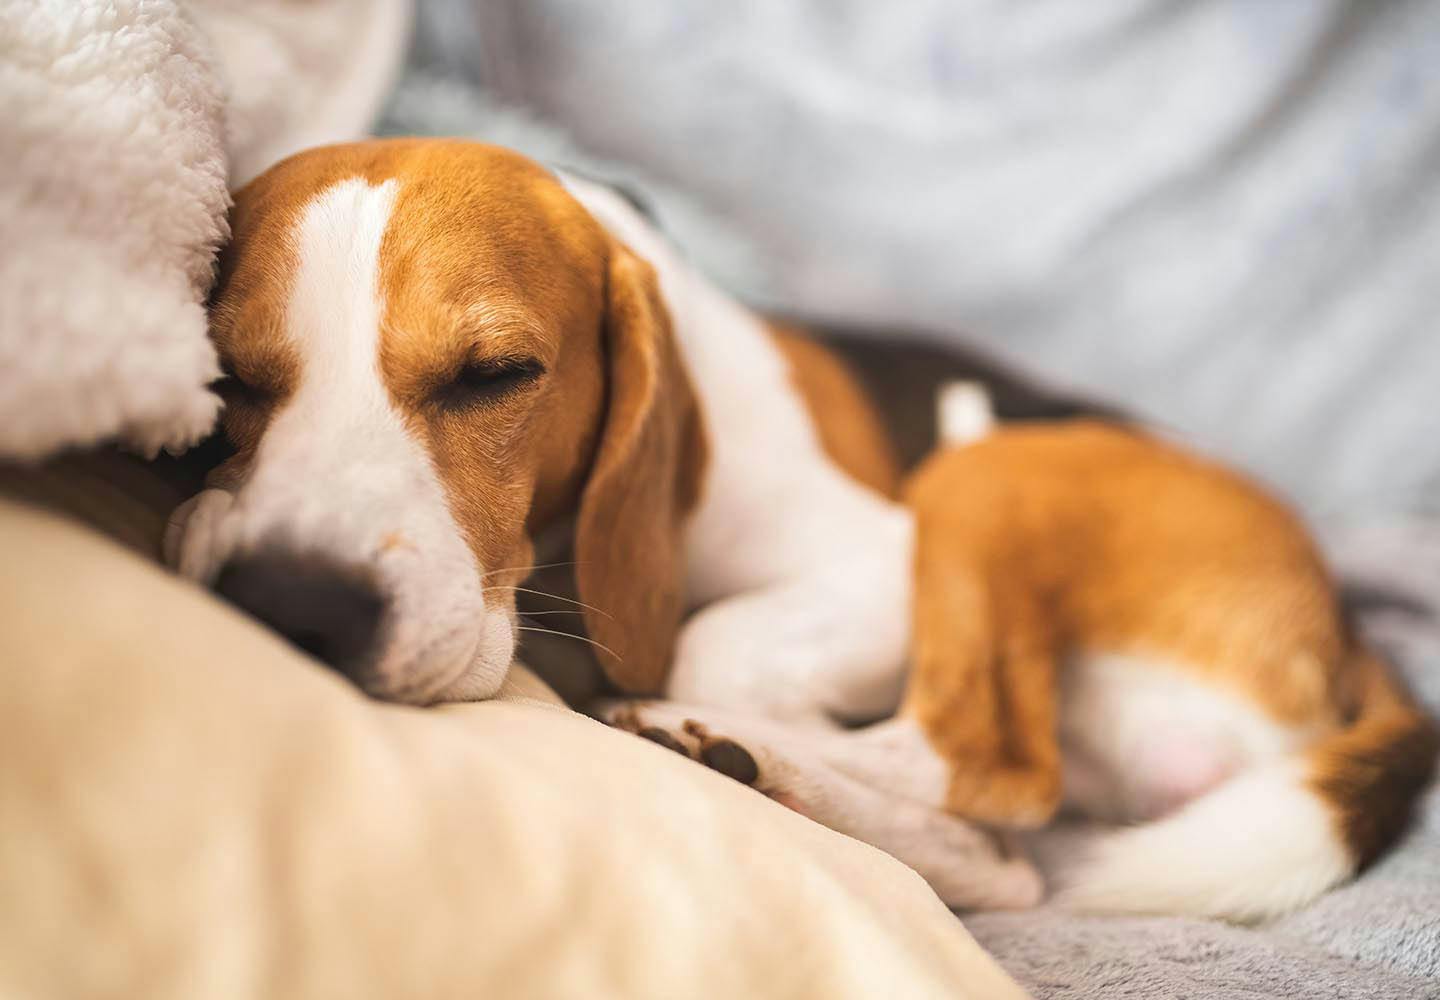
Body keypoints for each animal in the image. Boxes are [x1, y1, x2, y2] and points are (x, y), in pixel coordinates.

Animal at [165, 141, 1428, 922]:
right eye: (227, 378)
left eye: (497, 376)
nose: (297, 607)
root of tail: (1342, 622)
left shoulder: (873, 560)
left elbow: (711, 639)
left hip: (985, 474)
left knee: (995, 774)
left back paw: (747, 756)